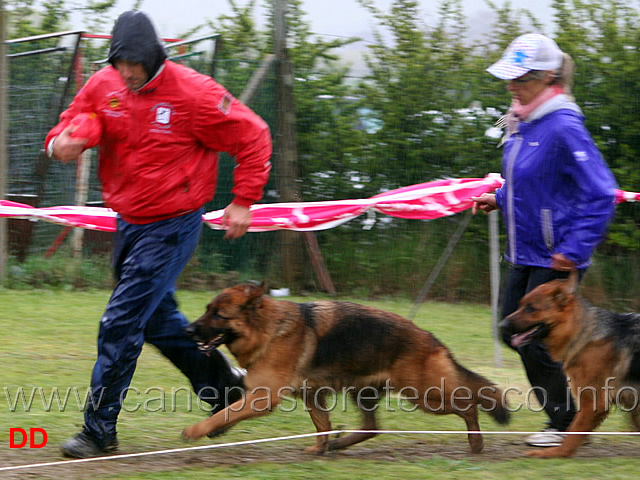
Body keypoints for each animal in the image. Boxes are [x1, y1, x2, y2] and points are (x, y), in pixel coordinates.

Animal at [181, 284, 510, 456]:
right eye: (207, 309)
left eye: (218, 315)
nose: (187, 331)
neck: (268, 329)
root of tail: (431, 338)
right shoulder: (311, 395)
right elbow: (323, 425)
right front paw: (320, 449)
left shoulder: (263, 398)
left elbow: (226, 412)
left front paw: (196, 430)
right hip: (364, 392)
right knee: (371, 427)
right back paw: (339, 443)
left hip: (423, 395)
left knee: (468, 404)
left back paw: (476, 443)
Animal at [502, 272, 640, 460]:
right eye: (521, 305)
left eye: (530, 308)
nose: (501, 325)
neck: (580, 331)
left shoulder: (593, 401)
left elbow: (573, 433)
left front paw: (556, 453)